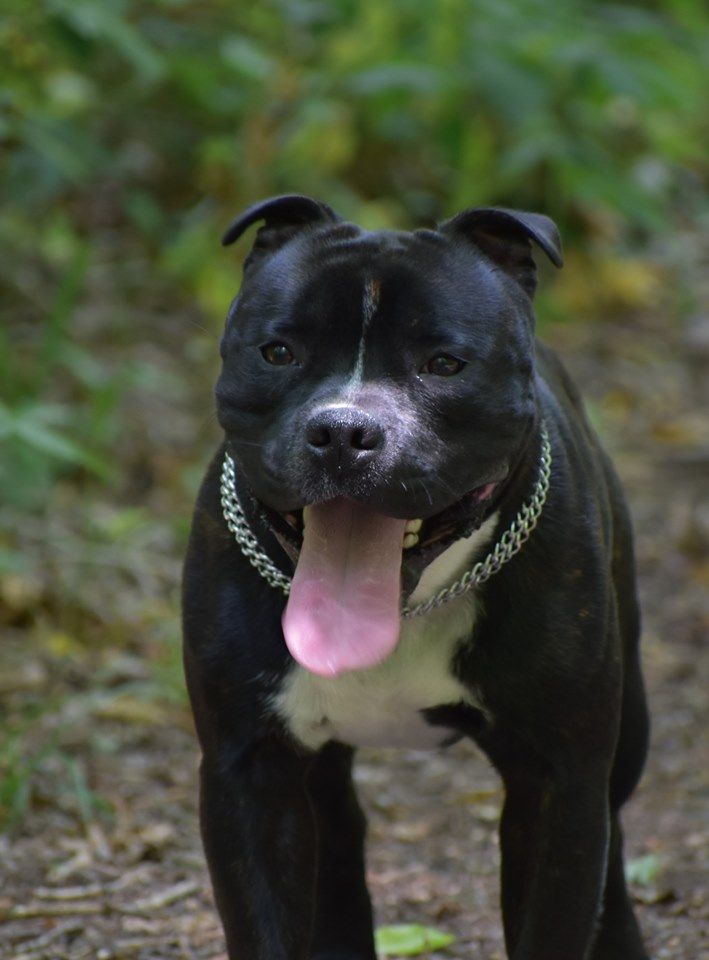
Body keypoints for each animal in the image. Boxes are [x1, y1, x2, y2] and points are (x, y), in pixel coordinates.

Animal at [181, 195, 648, 960]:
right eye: (278, 353)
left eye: (444, 364)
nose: (342, 431)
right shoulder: (247, 771)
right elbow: (267, 922)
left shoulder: (560, 782)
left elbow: (558, 911)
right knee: (339, 841)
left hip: (624, 734)